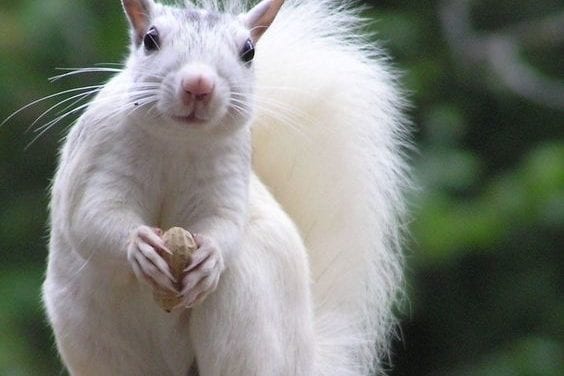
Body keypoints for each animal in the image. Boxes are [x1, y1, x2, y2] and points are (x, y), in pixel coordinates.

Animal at [40, 0, 410, 376]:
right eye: (151, 39)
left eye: (248, 51)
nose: (198, 84)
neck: (178, 142)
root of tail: (306, 359)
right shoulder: (100, 154)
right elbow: (91, 217)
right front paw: (139, 245)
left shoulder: (228, 174)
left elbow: (226, 221)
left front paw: (211, 255)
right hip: (111, 347)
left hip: (247, 312)